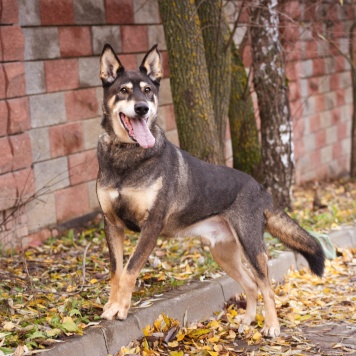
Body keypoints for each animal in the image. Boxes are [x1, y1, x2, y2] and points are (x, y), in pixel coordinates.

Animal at [96, 43, 324, 336]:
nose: (142, 108)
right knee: (251, 285)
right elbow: (116, 271)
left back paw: (271, 326)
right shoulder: (112, 224)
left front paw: (121, 310)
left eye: (147, 90)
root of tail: (261, 190)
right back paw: (247, 321)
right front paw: (111, 307)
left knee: (266, 286)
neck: (126, 155)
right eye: (124, 90)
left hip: (251, 245)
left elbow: (129, 271)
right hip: (223, 253)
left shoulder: (151, 226)